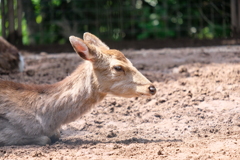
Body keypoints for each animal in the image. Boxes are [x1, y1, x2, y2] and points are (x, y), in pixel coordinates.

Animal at [0, 32, 156, 146]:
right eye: (118, 67)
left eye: (130, 61)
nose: (152, 87)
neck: (44, 120)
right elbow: (45, 139)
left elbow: (56, 135)